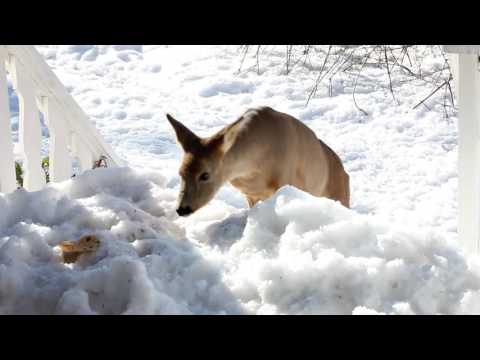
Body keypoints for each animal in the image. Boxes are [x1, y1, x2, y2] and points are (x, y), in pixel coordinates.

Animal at [167, 105, 350, 215]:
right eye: (180, 173)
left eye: (205, 175)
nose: (182, 209)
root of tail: (343, 171)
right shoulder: (251, 194)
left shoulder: (286, 182)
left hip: (341, 196)